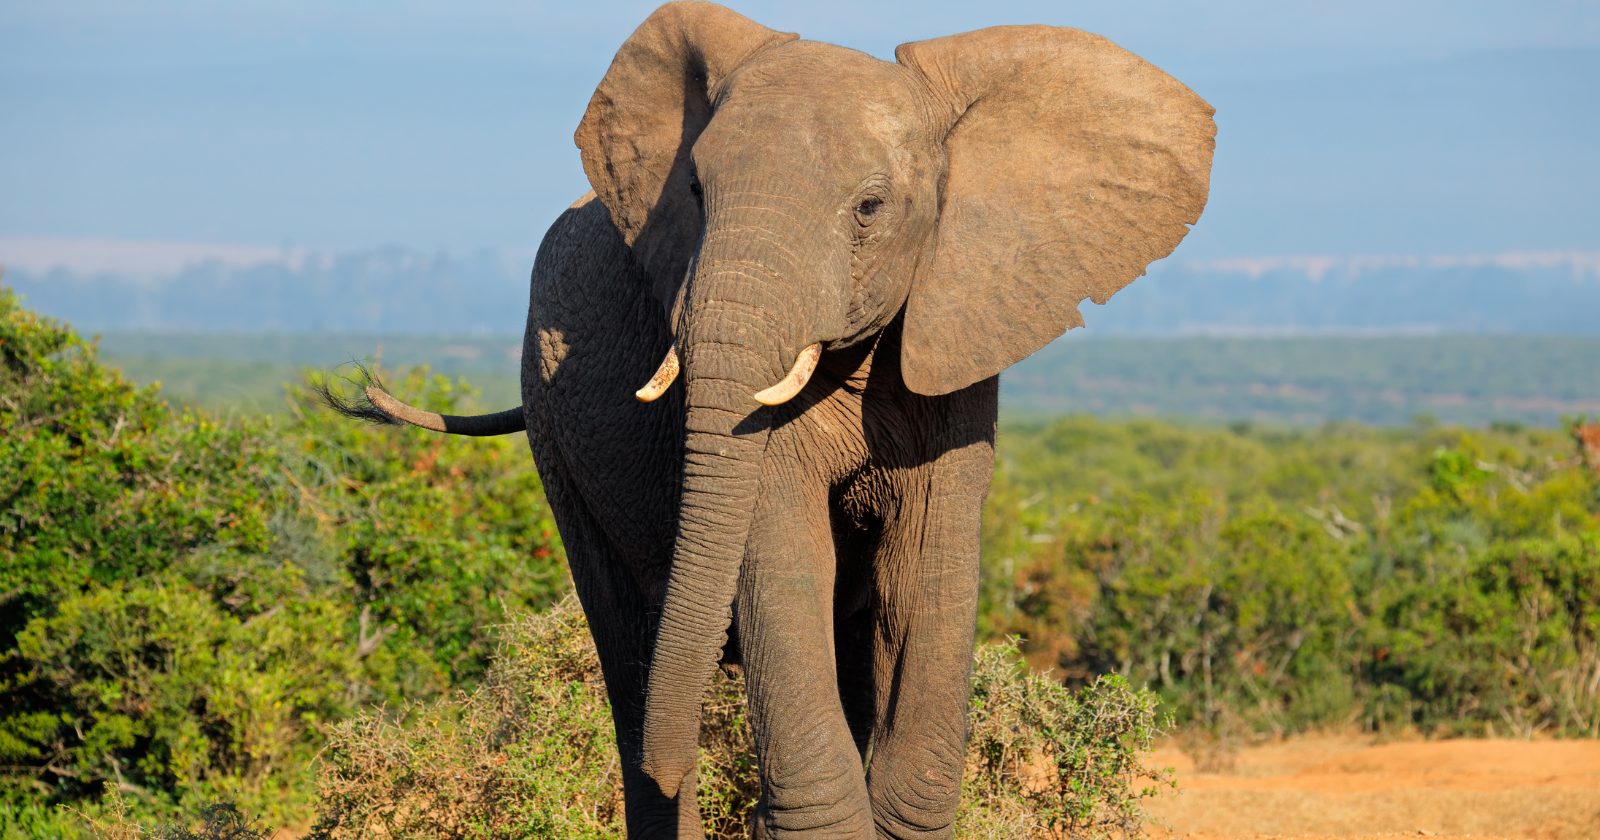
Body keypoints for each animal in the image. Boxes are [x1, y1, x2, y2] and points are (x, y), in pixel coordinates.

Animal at [331, 3, 1213, 837]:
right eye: (693, 193)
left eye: (869, 207)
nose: (689, 763)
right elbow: (783, 558)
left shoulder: (958, 335)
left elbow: (924, 570)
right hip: (552, 418)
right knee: (626, 646)